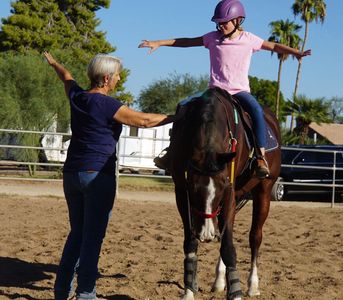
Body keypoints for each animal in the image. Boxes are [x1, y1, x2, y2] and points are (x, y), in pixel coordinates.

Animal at [170, 88, 282, 298]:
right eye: (193, 187)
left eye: (221, 187)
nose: (206, 234)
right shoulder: (181, 191)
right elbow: (190, 242)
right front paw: (188, 290)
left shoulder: (229, 193)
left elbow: (229, 247)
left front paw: (236, 292)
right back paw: (220, 280)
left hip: (263, 190)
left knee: (255, 237)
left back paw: (252, 285)